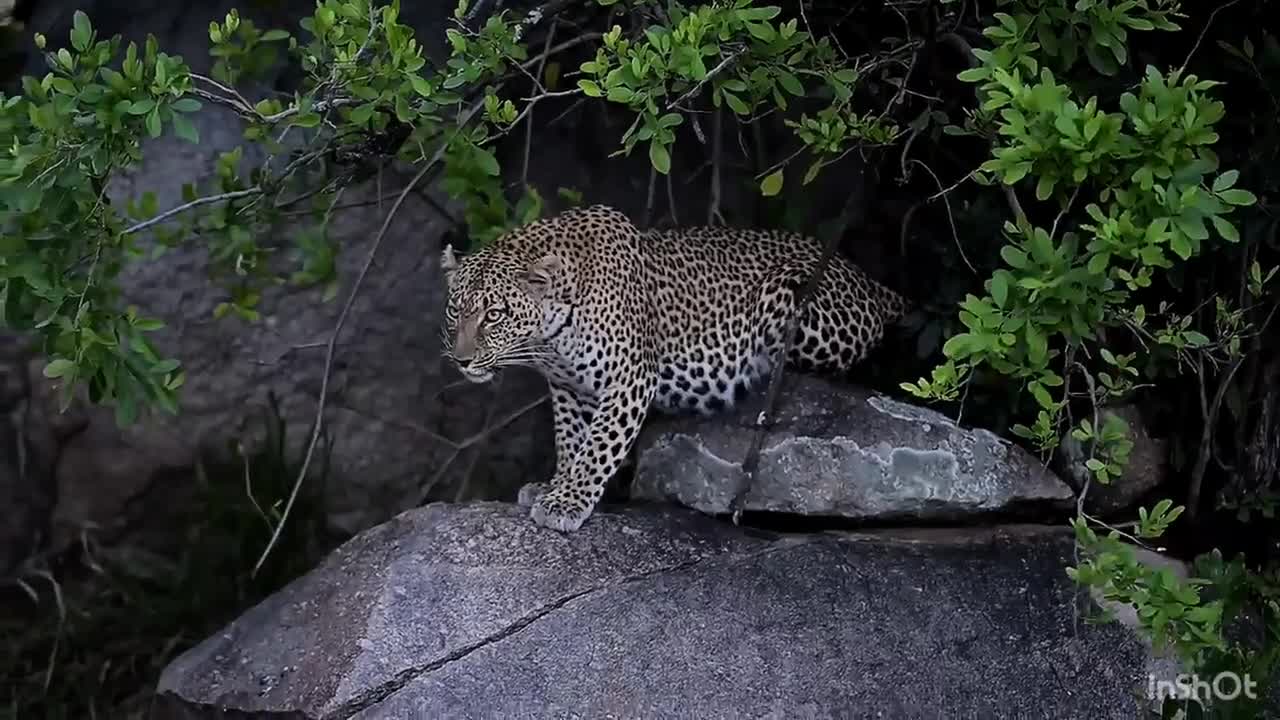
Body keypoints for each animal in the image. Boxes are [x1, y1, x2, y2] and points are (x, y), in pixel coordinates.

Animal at [440, 204, 911, 530]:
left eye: (494, 315)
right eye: (455, 311)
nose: (463, 360)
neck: (550, 335)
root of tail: (869, 281)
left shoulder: (628, 379)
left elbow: (597, 447)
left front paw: (566, 502)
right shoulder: (569, 389)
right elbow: (571, 440)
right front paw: (556, 485)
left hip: (791, 290)